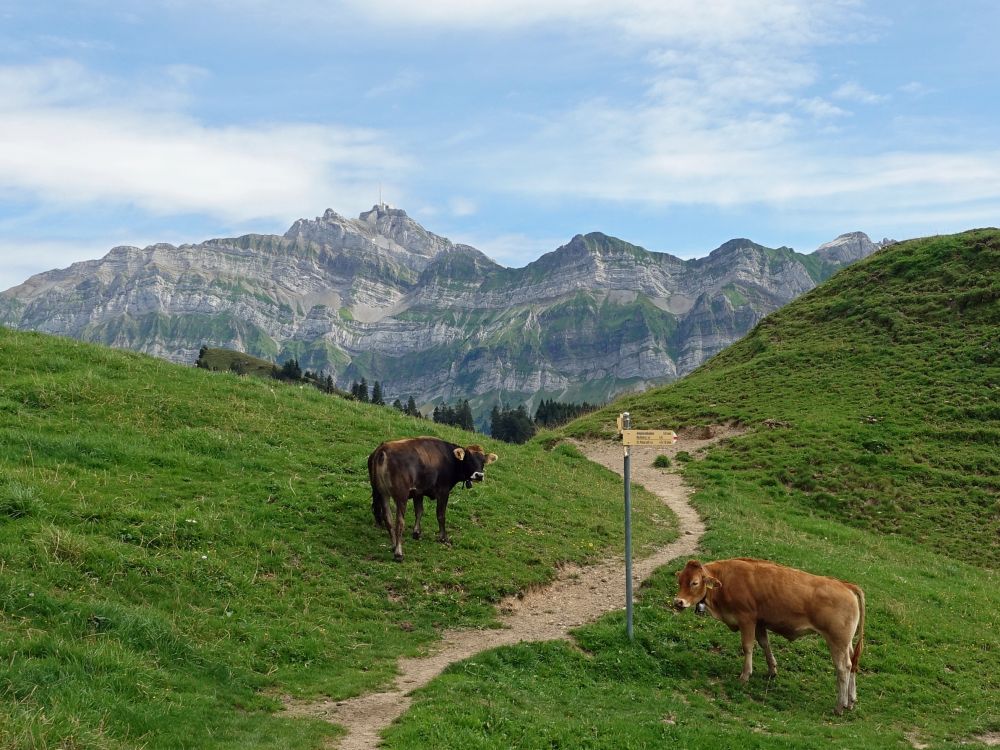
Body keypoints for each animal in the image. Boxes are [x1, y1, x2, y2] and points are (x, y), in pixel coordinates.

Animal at [366, 438, 498, 560]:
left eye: (483, 461)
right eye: (469, 459)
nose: (479, 475)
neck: (450, 459)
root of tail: (383, 449)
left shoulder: (418, 492)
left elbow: (419, 511)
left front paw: (416, 533)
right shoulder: (443, 491)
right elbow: (441, 515)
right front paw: (443, 538)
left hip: (382, 493)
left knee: (388, 519)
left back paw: (394, 545)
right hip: (401, 495)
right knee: (399, 522)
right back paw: (398, 553)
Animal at [672, 560, 868, 716]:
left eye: (695, 582)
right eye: (680, 580)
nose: (678, 602)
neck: (727, 580)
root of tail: (846, 585)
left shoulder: (747, 618)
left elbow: (748, 646)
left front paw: (745, 676)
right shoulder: (760, 621)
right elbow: (764, 643)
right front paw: (772, 669)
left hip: (837, 641)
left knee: (843, 668)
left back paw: (839, 706)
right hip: (847, 643)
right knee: (853, 664)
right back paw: (851, 701)